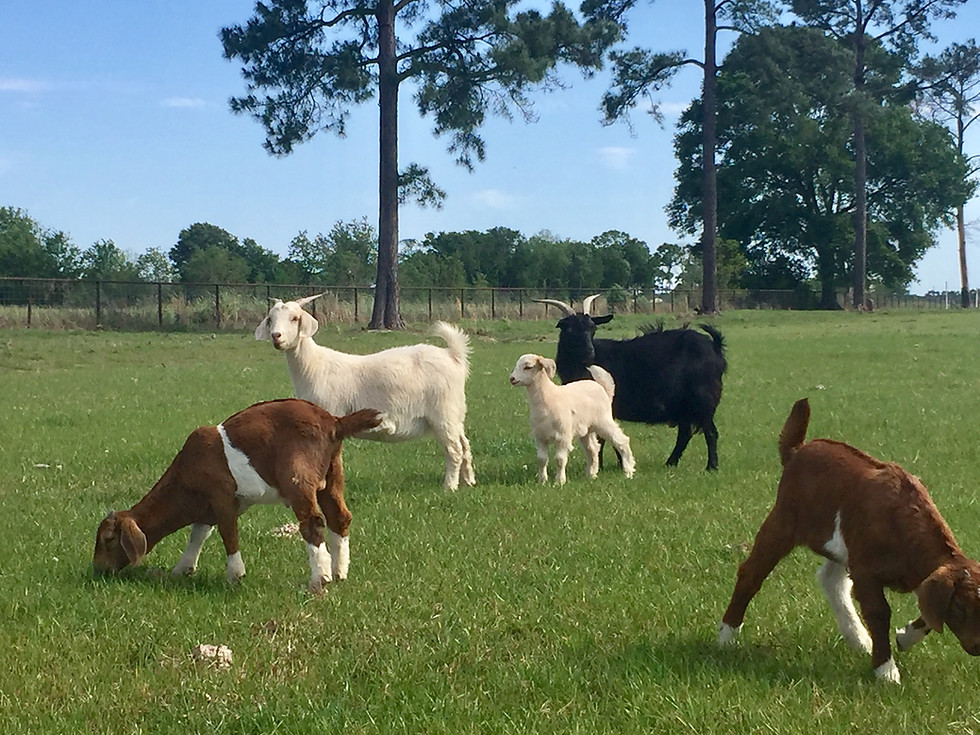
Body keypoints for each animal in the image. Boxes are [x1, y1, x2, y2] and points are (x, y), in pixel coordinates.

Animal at [93, 399, 382, 593]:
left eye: (109, 539)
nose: (98, 570)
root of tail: (333, 421)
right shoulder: (208, 506)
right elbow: (199, 533)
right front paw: (183, 568)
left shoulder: (221, 496)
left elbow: (228, 532)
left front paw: (235, 574)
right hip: (333, 473)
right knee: (340, 517)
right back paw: (339, 571)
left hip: (298, 476)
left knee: (313, 522)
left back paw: (319, 578)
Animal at [255, 294, 475, 490]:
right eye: (270, 319)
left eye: (295, 318)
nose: (276, 336)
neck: (314, 366)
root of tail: (453, 356)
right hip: (456, 413)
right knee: (465, 445)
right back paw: (469, 481)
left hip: (443, 412)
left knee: (454, 450)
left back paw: (449, 486)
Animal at [509, 353, 635, 485]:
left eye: (528, 367)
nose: (512, 379)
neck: (548, 398)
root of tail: (603, 388)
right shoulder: (540, 436)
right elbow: (541, 459)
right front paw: (542, 481)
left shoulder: (563, 436)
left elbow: (560, 459)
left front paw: (559, 481)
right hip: (587, 429)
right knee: (593, 449)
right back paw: (591, 474)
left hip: (604, 421)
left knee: (622, 441)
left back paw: (628, 471)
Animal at [536, 295, 726, 470]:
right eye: (569, 330)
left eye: (592, 328)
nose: (589, 352)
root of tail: (715, 348)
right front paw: (619, 464)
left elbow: (603, 438)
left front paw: (604, 465)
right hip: (685, 406)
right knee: (685, 434)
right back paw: (670, 463)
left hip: (703, 400)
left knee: (710, 433)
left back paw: (712, 466)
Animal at [718, 398, 980, 683]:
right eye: (960, 607)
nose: (978, 647)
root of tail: (797, 450)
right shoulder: (865, 568)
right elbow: (879, 612)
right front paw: (886, 671)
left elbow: (926, 610)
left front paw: (905, 637)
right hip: (782, 521)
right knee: (752, 572)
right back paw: (727, 635)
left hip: (840, 545)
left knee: (830, 580)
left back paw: (858, 638)